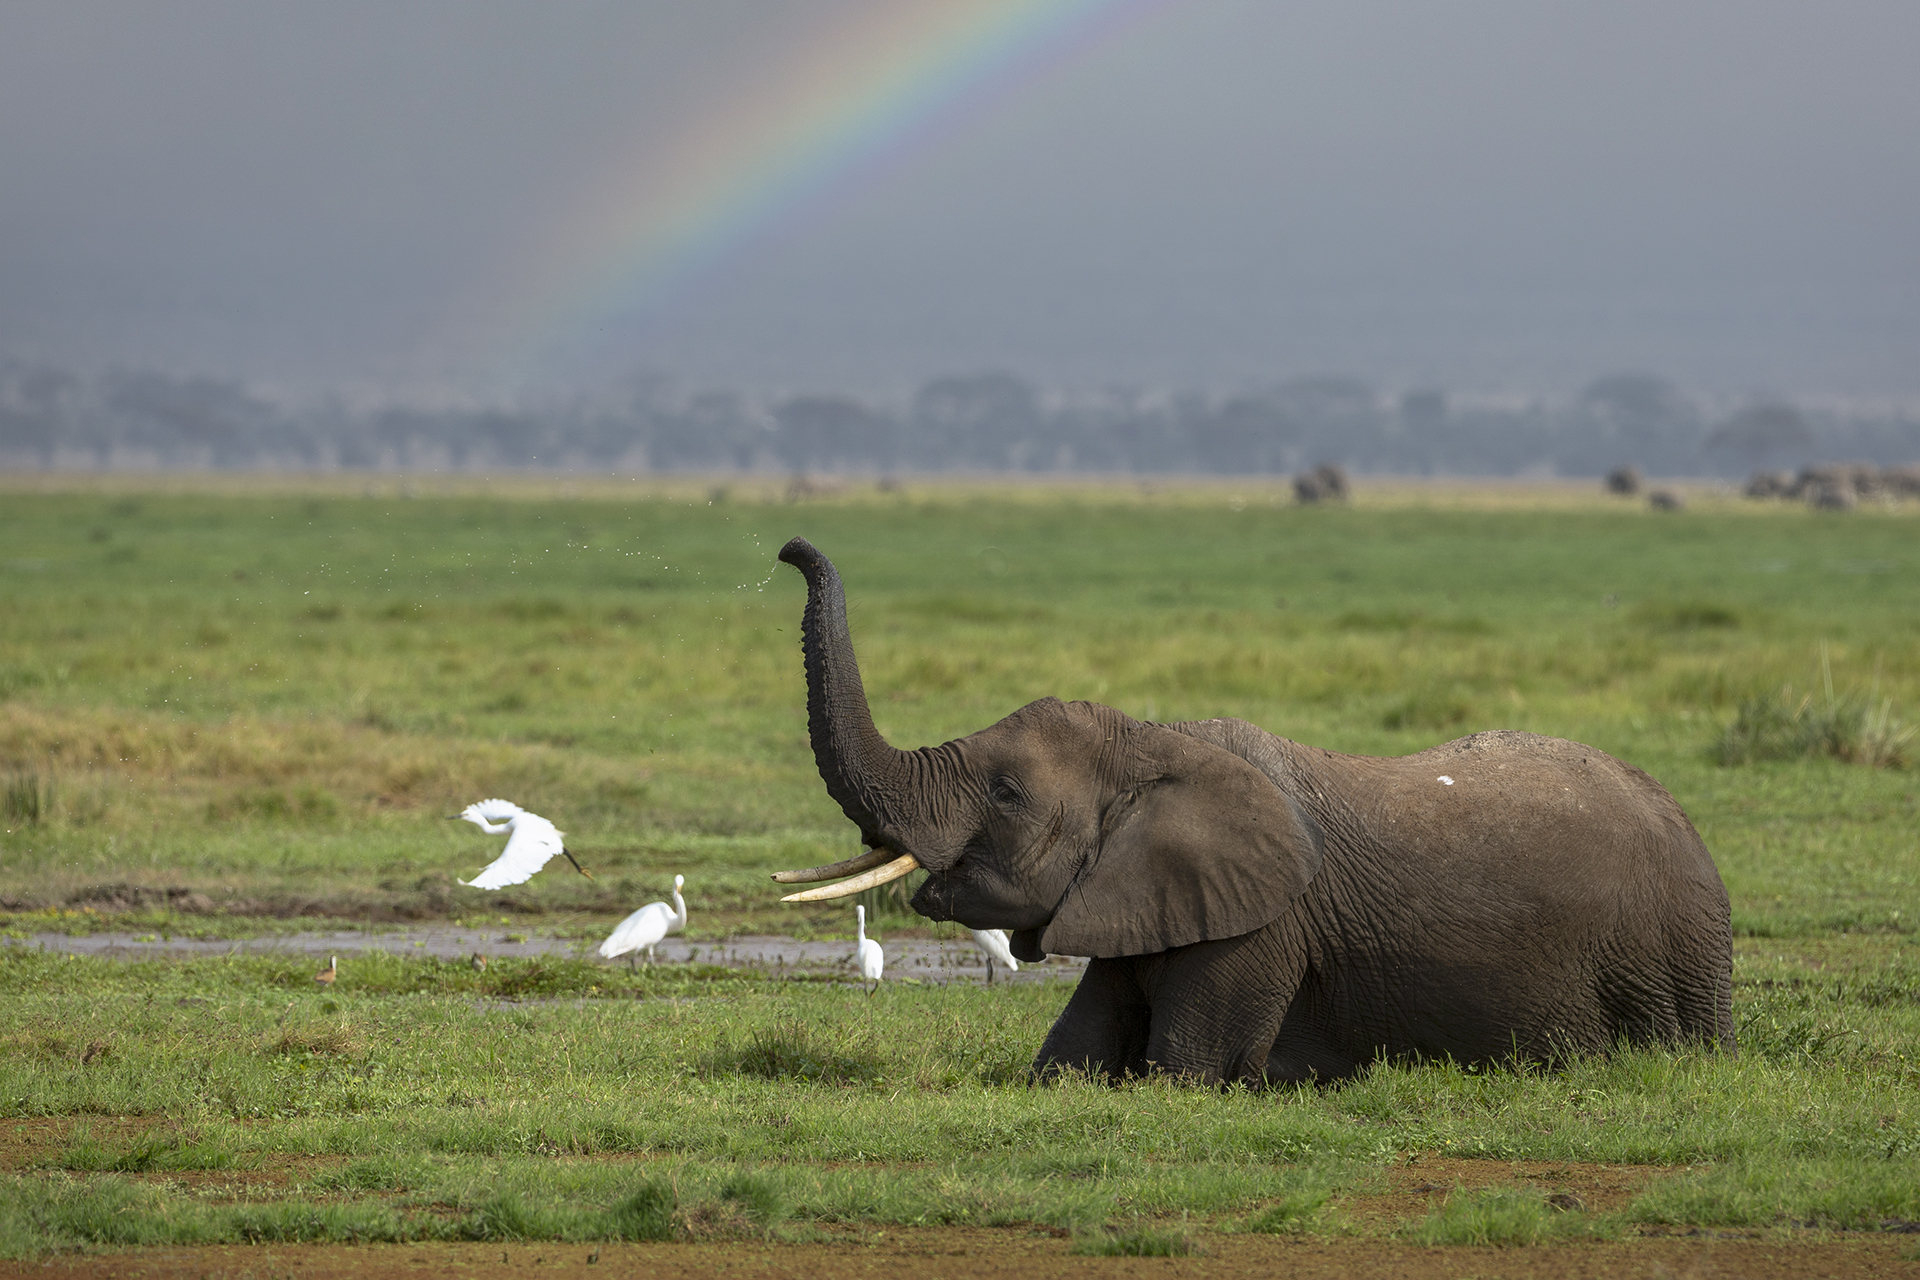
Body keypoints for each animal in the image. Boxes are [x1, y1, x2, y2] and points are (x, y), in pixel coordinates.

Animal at [771, 538, 1734, 1086]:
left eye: (1006, 795)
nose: (787, 548)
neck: (1156, 744)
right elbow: (1065, 1067)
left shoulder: (1261, 929)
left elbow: (1183, 1074)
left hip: (1666, 959)